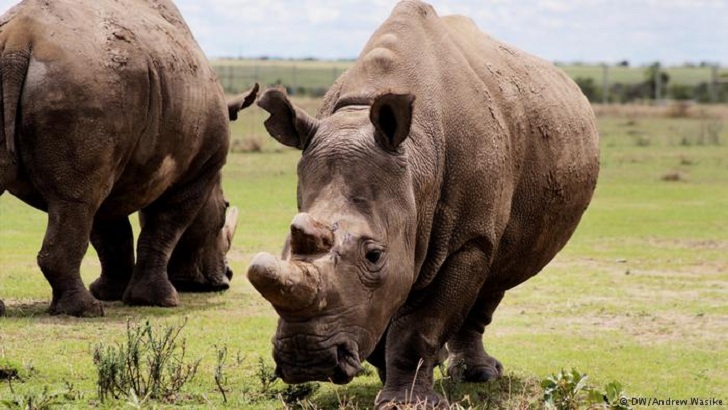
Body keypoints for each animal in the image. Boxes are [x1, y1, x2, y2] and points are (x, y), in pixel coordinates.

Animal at [0, 0, 258, 318]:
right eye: (224, 209)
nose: (226, 278)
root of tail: (17, 39)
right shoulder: (198, 172)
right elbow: (163, 228)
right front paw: (159, 300)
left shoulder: (118, 164)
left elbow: (111, 233)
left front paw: (112, 293)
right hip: (84, 86)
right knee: (75, 202)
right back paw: (86, 311)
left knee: (79, 204)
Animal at [247, 0, 600, 406]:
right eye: (286, 245)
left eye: (373, 255)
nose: (306, 360)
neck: (416, 160)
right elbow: (386, 311)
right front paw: (394, 381)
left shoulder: (468, 239)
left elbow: (420, 325)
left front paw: (404, 402)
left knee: (496, 269)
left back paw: (479, 375)